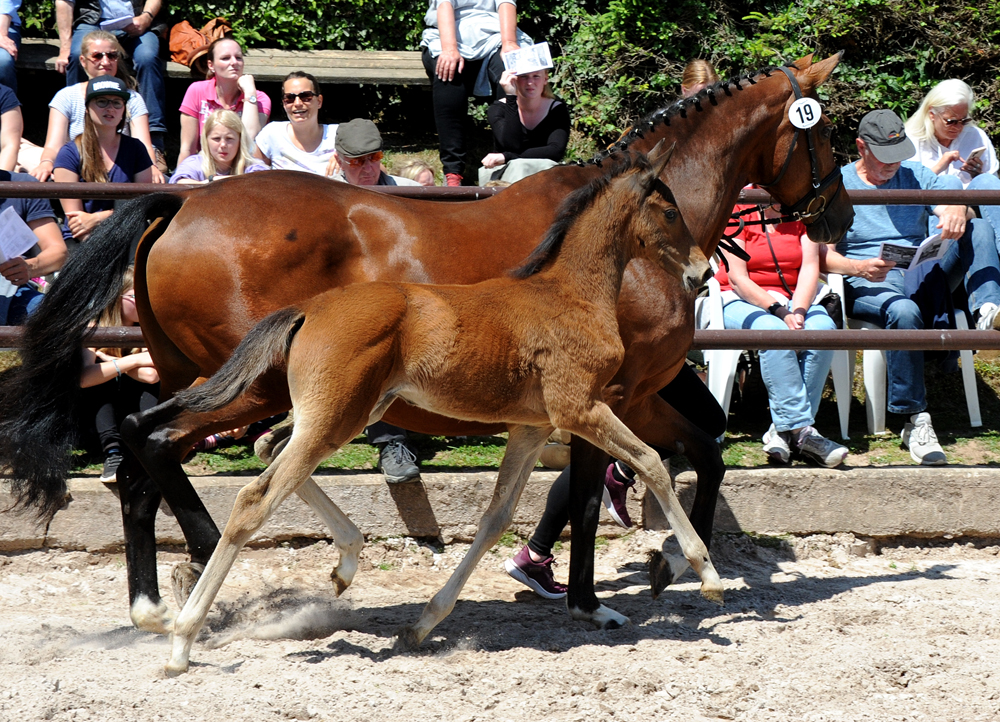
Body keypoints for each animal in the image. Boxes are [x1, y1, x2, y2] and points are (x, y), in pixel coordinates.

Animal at [166, 146, 720, 676]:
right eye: (671, 212)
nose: (703, 270)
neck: (568, 295)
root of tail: (310, 308)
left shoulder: (532, 428)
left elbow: (495, 519)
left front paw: (421, 625)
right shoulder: (582, 408)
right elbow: (650, 463)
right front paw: (703, 570)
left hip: (350, 413)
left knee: (268, 446)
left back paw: (344, 565)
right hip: (338, 417)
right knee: (254, 498)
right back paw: (181, 641)